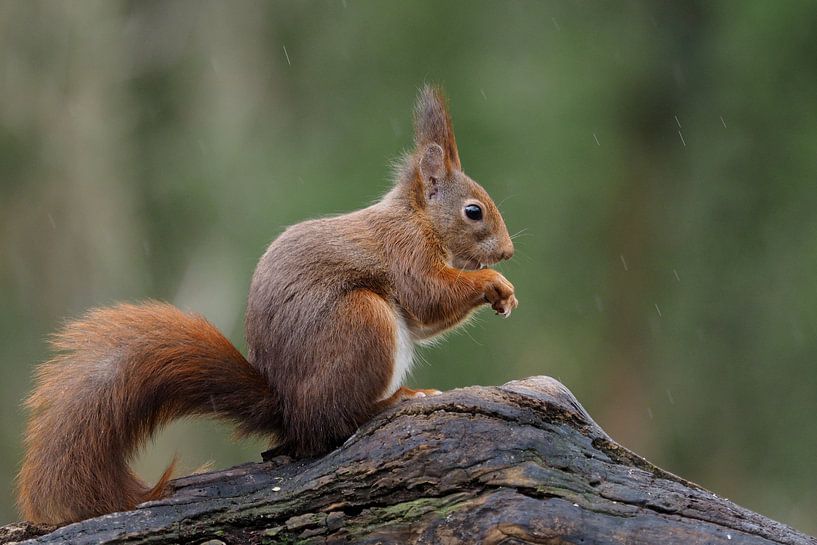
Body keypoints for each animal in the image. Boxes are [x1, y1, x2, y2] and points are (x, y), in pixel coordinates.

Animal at [17, 85, 518, 525]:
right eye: (473, 211)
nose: (509, 252)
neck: (418, 219)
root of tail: (288, 411)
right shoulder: (405, 253)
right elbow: (429, 296)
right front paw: (493, 283)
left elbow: (427, 318)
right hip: (363, 321)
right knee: (336, 424)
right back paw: (397, 399)